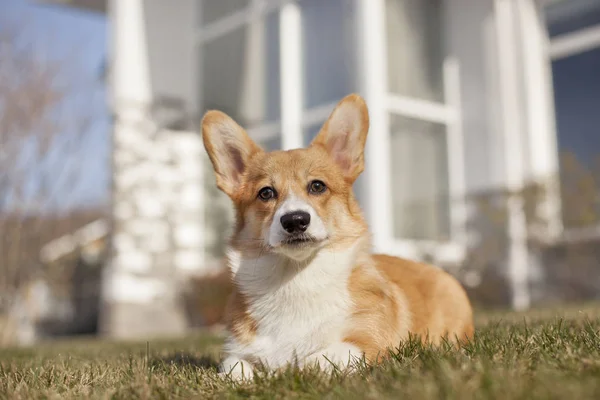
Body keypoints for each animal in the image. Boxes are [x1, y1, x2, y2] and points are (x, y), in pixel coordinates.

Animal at [202, 92, 474, 380]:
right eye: (266, 193)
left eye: (317, 186)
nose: (295, 220)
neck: (296, 279)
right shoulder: (237, 353)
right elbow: (234, 368)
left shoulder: (366, 343)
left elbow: (317, 359)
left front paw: (285, 371)